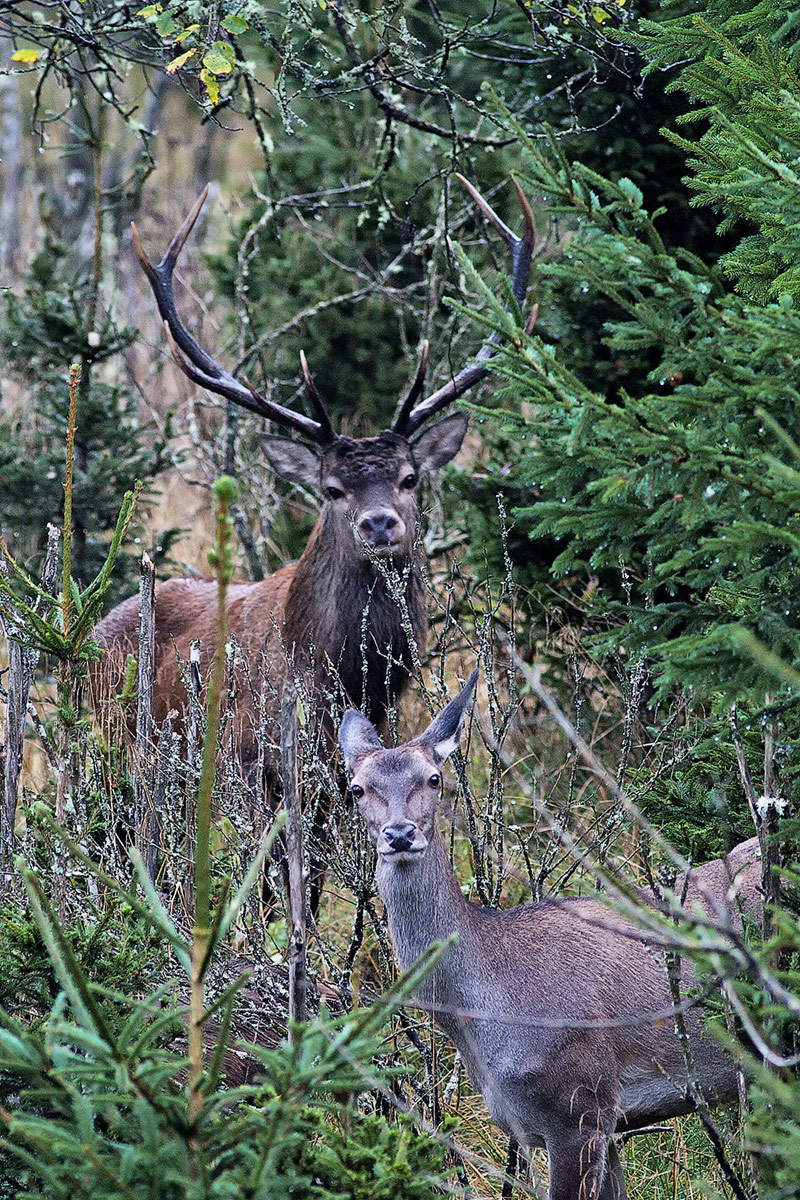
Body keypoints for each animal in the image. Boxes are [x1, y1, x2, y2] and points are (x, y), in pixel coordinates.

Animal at [90, 178, 535, 895]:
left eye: (409, 477)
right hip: (107, 762)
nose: (380, 523)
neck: (340, 676)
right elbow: (270, 889)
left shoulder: (342, 780)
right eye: (331, 489)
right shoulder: (252, 767)